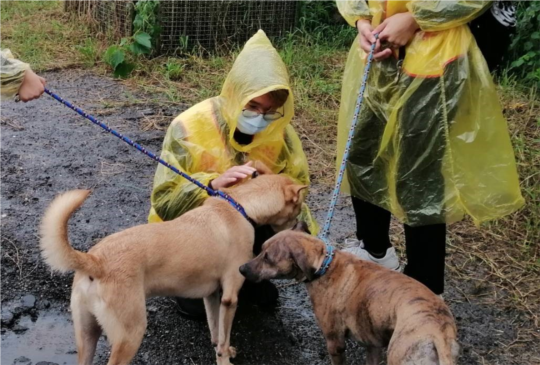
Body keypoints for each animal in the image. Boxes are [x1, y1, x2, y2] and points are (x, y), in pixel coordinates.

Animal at [40, 166, 306, 364]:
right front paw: (224, 359)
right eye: (299, 207)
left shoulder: (212, 295)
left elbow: (216, 332)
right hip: (130, 335)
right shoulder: (230, 296)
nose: (301, 226)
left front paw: (221, 349)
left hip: (87, 335)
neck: (240, 207)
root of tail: (96, 261)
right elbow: (224, 336)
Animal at [240, 222, 460, 364]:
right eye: (260, 248)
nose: (241, 269)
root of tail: (438, 332)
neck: (324, 264)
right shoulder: (372, 344)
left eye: (268, 258)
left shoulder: (334, 342)